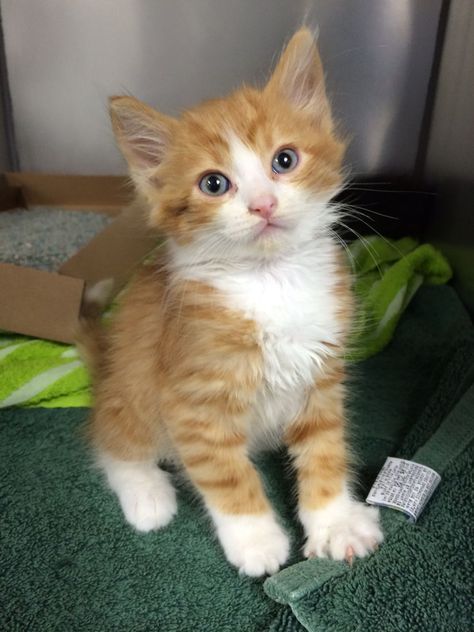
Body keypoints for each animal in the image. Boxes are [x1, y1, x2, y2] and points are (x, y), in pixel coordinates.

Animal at [82, 29, 386, 576]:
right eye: (214, 184)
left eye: (284, 160)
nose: (263, 204)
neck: (271, 280)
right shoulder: (190, 401)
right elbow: (226, 476)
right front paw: (256, 540)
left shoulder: (320, 377)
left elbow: (325, 449)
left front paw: (334, 522)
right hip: (133, 390)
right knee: (114, 441)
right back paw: (147, 495)